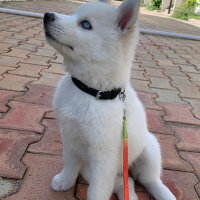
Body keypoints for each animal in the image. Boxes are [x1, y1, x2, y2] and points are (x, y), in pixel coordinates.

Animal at [43, 0, 176, 199]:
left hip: (149, 151)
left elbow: (97, 191)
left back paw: (164, 194)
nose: (47, 15)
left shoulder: (104, 156)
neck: (91, 91)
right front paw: (64, 181)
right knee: (125, 182)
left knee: (149, 179)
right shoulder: (69, 136)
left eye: (86, 24)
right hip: (92, 170)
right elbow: (70, 164)